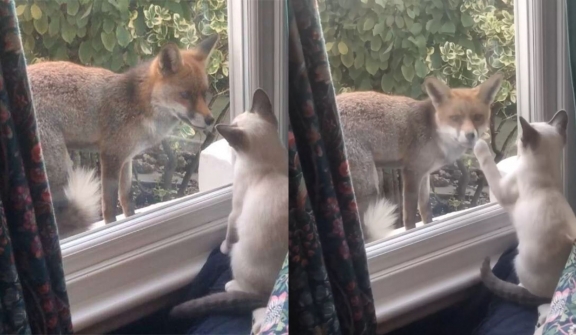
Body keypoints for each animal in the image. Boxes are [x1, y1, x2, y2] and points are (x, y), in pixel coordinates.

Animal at [28, 34, 219, 236]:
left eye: (203, 94)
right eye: (185, 95)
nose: (210, 120)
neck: (139, 104)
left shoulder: (127, 158)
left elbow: (127, 199)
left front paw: (130, 221)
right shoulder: (111, 156)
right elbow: (109, 206)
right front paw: (111, 227)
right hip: (60, 169)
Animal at [170, 88, 288, 334]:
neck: (270, 166)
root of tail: (275, 287)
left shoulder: (235, 212)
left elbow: (228, 234)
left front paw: (223, 248)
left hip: (240, 255)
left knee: (245, 289)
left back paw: (230, 284)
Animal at [340, 75, 502, 240]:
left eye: (478, 117)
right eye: (455, 118)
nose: (470, 135)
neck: (436, 133)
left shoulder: (424, 173)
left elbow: (425, 208)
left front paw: (428, 227)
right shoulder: (411, 171)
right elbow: (410, 215)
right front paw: (411, 233)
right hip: (368, 185)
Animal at [472, 111, 576, 310]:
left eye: (520, 140)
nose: (516, 146)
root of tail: (552, 294)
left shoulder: (502, 189)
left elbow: (490, 166)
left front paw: (480, 142)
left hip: (518, 261)